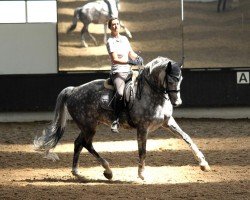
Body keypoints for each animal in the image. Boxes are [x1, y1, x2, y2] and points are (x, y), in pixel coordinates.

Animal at [32, 56, 209, 181]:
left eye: (181, 79)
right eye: (171, 79)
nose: (178, 102)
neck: (152, 94)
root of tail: (74, 90)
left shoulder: (168, 122)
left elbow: (187, 138)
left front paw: (203, 164)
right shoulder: (142, 128)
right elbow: (143, 151)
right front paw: (142, 174)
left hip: (89, 125)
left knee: (78, 143)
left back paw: (77, 172)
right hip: (89, 126)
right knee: (86, 144)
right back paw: (108, 170)